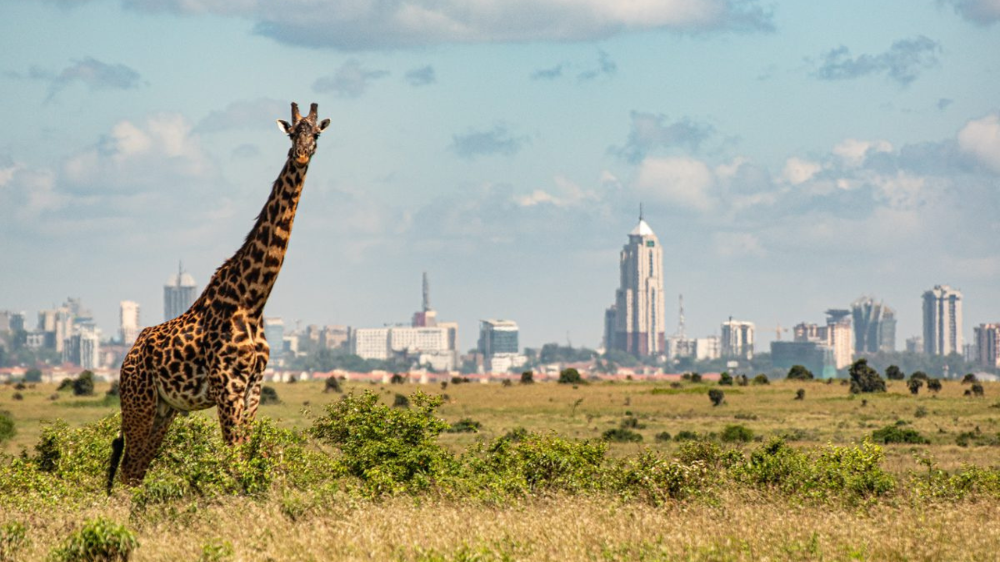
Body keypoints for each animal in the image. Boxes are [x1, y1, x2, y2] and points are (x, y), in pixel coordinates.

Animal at [108, 101, 332, 490]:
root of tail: (128, 357)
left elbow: (246, 455)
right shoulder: (228, 385)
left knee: (137, 469)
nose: (302, 155)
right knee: (127, 469)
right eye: (292, 133)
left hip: (164, 410)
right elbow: (235, 460)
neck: (252, 300)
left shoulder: (253, 386)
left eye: (316, 134)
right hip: (138, 400)